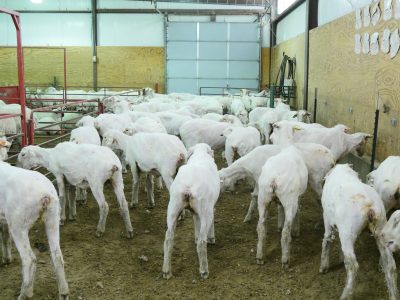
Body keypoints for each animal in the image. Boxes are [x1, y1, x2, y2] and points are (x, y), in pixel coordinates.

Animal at [0, 162, 69, 300]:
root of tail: (45, 194)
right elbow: (5, 236)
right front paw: (6, 259)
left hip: (18, 223)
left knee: (29, 259)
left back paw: (24, 293)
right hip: (53, 217)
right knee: (57, 256)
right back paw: (63, 293)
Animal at [162, 143, 219, 278]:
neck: (200, 153)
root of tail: (188, 187)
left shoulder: (195, 212)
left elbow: (195, 221)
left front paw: (195, 237)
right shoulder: (210, 207)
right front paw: (211, 238)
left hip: (173, 209)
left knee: (168, 239)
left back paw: (166, 271)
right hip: (205, 210)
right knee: (202, 242)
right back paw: (204, 271)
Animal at [318, 164, 396, 300]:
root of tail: (370, 208)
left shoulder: (327, 218)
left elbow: (326, 240)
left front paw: (323, 268)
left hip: (348, 233)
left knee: (353, 266)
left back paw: (345, 295)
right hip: (382, 230)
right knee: (390, 265)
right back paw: (393, 295)